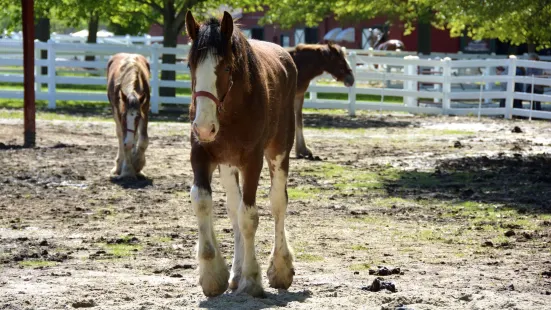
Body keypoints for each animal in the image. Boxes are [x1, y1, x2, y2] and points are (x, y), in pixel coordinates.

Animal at [185, 11, 298, 298]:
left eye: (226, 67)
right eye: (190, 66)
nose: (204, 127)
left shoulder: (252, 162)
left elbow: (249, 216)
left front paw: (252, 278)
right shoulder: (201, 155)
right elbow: (203, 202)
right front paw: (213, 273)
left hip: (279, 152)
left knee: (278, 203)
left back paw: (280, 268)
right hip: (227, 165)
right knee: (233, 209)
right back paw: (235, 274)